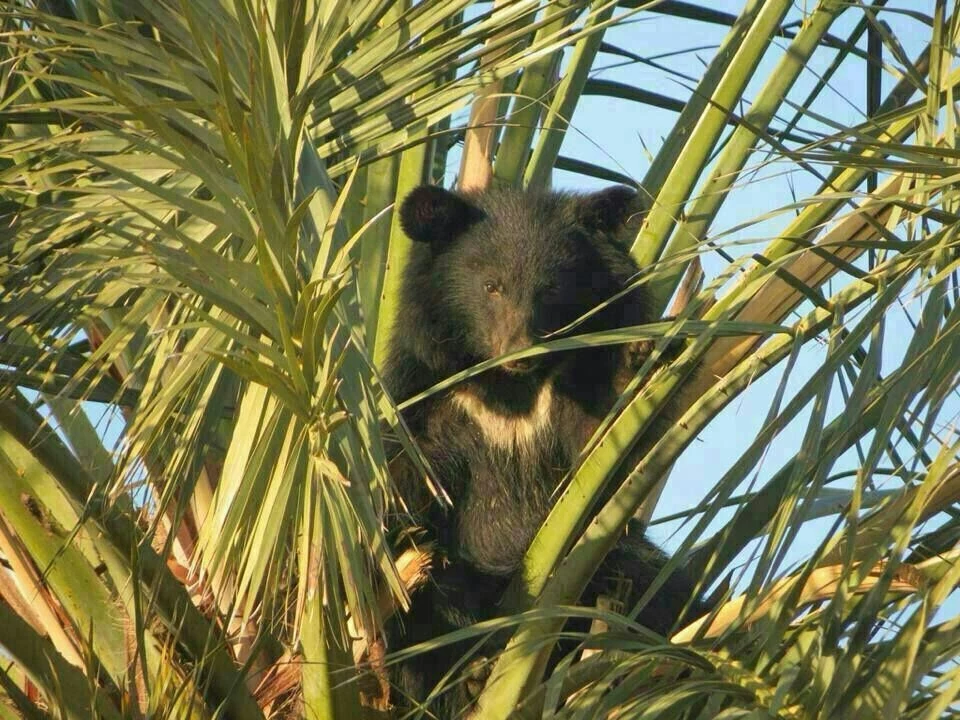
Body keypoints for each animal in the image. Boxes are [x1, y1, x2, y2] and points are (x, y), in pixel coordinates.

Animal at [380, 184, 696, 716]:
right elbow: (407, 487)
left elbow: (606, 460)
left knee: (653, 581)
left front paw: (638, 358)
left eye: (551, 289)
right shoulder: (432, 400)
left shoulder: (572, 386)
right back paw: (469, 675)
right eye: (491, 286)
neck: (508, 389)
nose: (520, 349)